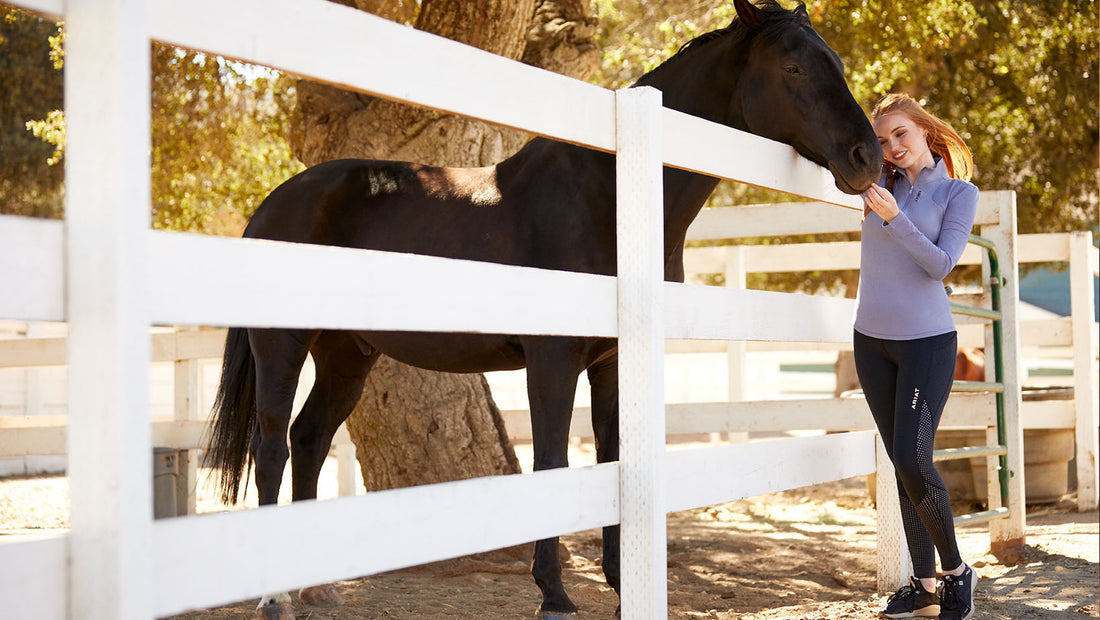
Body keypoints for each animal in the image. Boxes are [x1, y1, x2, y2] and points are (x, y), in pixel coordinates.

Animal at [204, 2, 875, 615]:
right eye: (792, 66)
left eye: (837, 63)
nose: (867, 156)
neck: (611, 197)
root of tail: (273, 204)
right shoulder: (552, 360)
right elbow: (552, 461)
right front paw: (554, 593)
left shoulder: (610, 364)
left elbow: (610, 457)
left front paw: (620, 583)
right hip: (283, 346)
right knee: (272, 445)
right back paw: (274, 598)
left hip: (347, 355)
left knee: (310, 438)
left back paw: (314, 586)